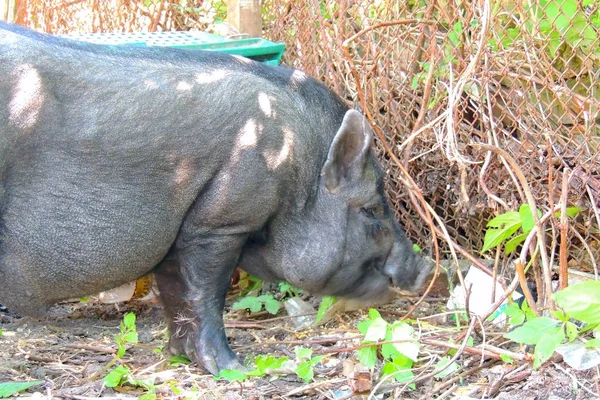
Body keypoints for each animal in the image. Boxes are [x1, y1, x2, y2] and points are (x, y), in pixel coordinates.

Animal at [1, 22, 432, 376]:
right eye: (372, 210)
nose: (426, 269)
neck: (298, 167)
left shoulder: (179, 231)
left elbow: (174, 291)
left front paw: (179, 358)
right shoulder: (222, 221)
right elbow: (207, 294)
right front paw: (234, 369)